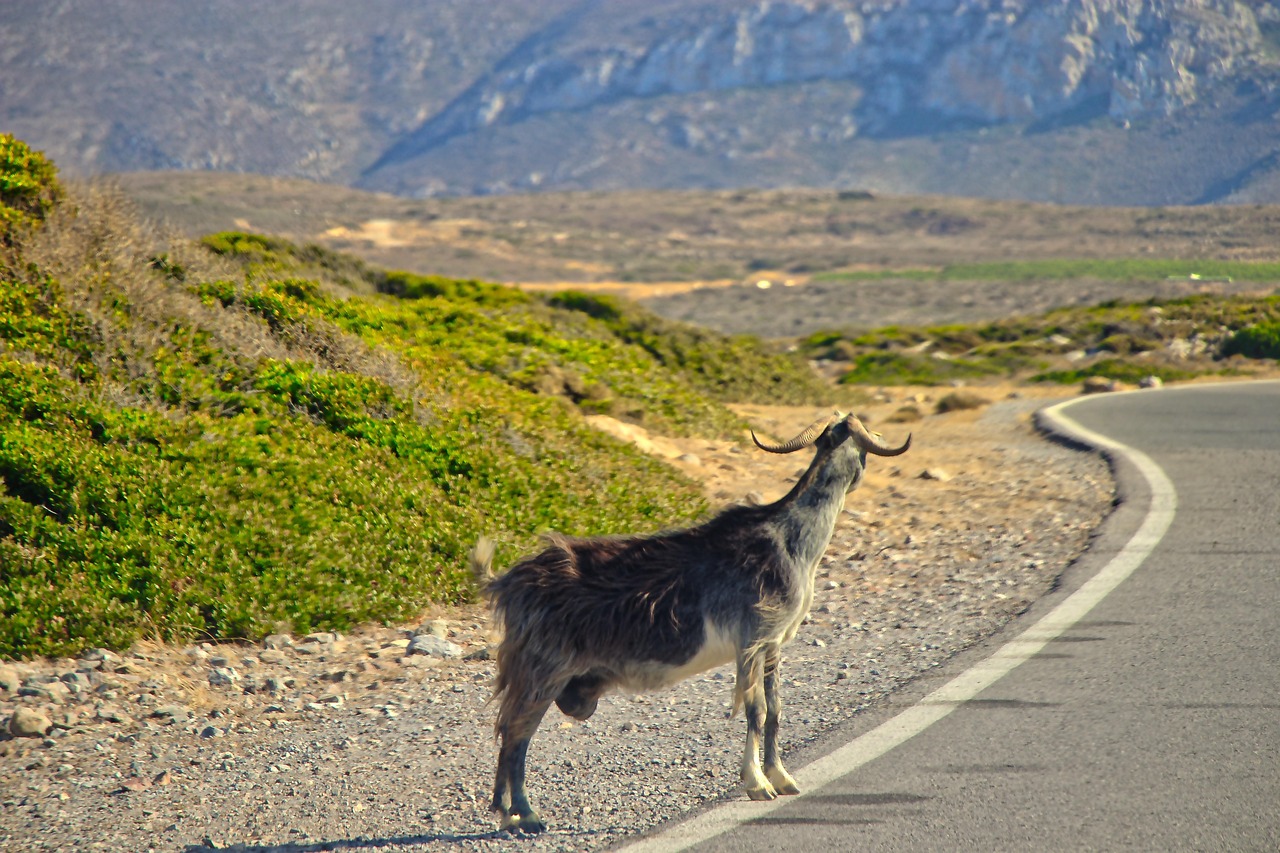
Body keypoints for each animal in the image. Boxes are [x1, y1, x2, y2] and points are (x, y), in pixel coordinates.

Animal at [473, 409, 911, 824]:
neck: (789, 539)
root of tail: (507, 583)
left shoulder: (773, 644)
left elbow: (775, 709)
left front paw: (782, 777)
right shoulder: (751, 640)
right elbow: (755, 709)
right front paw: (757, 784)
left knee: (508, 730)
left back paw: (505, 813)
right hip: (543, 669)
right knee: (516, 733)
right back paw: (526, 815)